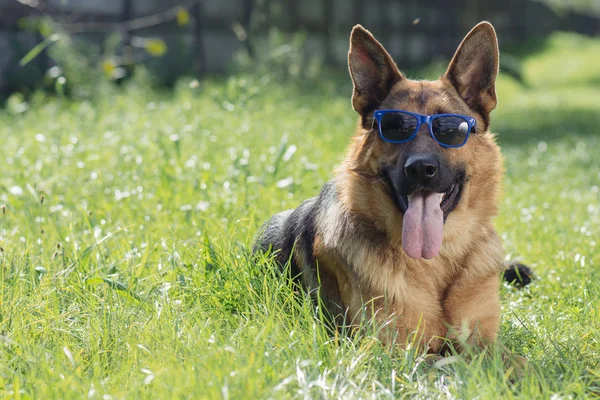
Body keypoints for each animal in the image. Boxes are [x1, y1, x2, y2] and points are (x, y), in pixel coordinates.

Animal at [255, 22, 532, 354]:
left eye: (450, 129)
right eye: (396, 127)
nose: (421, 169)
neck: (435, 264)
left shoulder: (485, 344)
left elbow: (518, 362)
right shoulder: (394, 351)